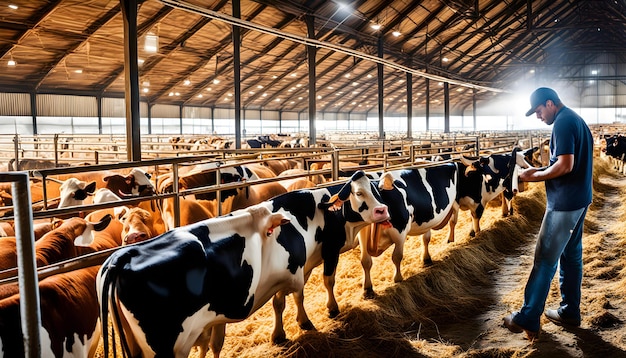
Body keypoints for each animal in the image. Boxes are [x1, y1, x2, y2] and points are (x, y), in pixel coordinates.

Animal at [96, 171, 390, 358]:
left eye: (377, 191)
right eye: (358, 193)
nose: (383, 211)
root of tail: (120, 258)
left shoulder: (289, 270)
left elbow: (281, 301)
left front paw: (280, 334)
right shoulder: (324, 253)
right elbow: (318, 286)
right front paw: (325, 313)